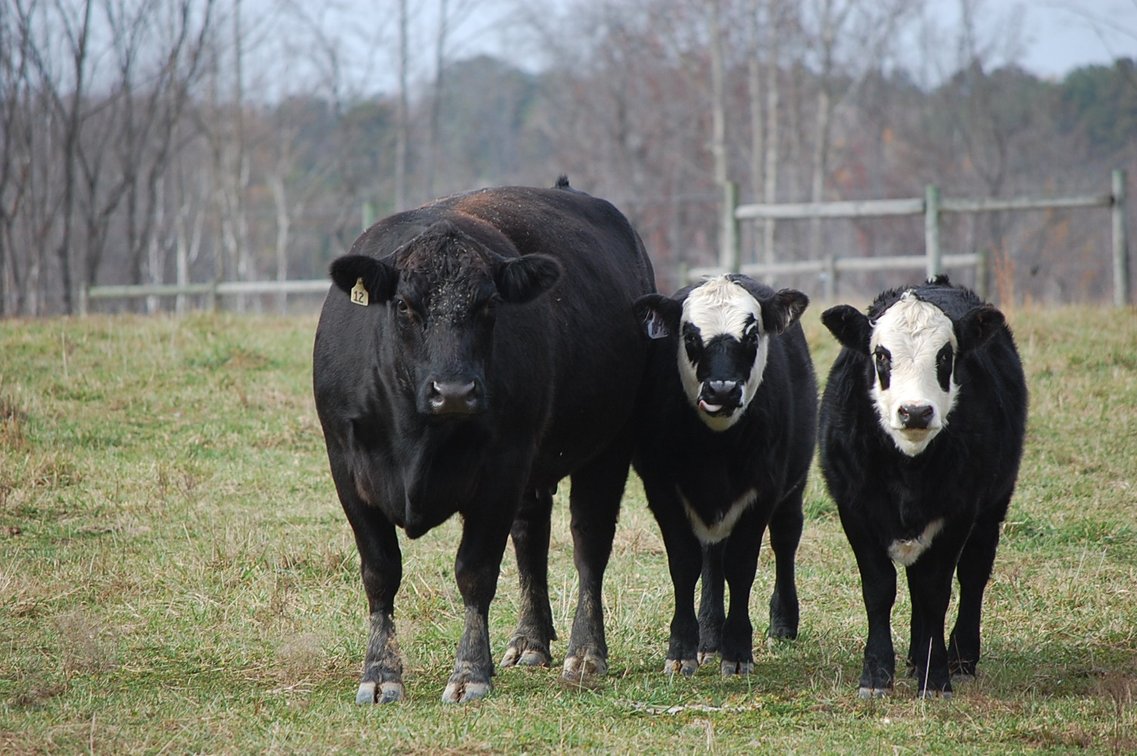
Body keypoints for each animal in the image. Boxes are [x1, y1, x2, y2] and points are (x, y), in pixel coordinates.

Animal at [312, 178, 655, 704]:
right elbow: (380, 571)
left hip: (609, 445)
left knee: (589, 544)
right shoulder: (346, 468)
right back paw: (530, 642)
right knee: (531, 538)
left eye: (489, 304)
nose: (454, 391)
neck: (415, 438)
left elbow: (475, 572)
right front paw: (380, 673)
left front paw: (471, 671)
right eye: (404, 305)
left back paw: (585, 654)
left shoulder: (502, 467)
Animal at [631, 275, 817, 677]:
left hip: (793, 486)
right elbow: (685, 564)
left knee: (785, 539)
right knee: (711, 557)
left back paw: (782, 623)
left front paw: (737, 650)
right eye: (689, 336)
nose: (722, 389)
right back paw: (709, 636)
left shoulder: (764, 491)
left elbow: (742, 565)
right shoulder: (662, 489)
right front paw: (683, 648)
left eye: (751, 335)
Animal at [818, 276, 1027, 698]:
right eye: (881, 356)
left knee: (974, 574)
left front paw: (936, 678)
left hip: (993, 505)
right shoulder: (854, 508)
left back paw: (960, 657)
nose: (915, 412)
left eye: (945, 357)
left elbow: (935, 591)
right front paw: (876, 675)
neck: (908, 472)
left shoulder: (959, 511)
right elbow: (880, 588)